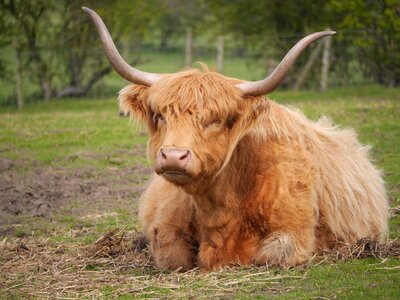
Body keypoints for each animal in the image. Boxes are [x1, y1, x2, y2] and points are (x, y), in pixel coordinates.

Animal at [83, 7, 388, 270]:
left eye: (215, 119)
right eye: (159, 116)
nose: (173, 156)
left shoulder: (295, 234)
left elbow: (269, 255)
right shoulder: (166, 228)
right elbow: (173, 256)